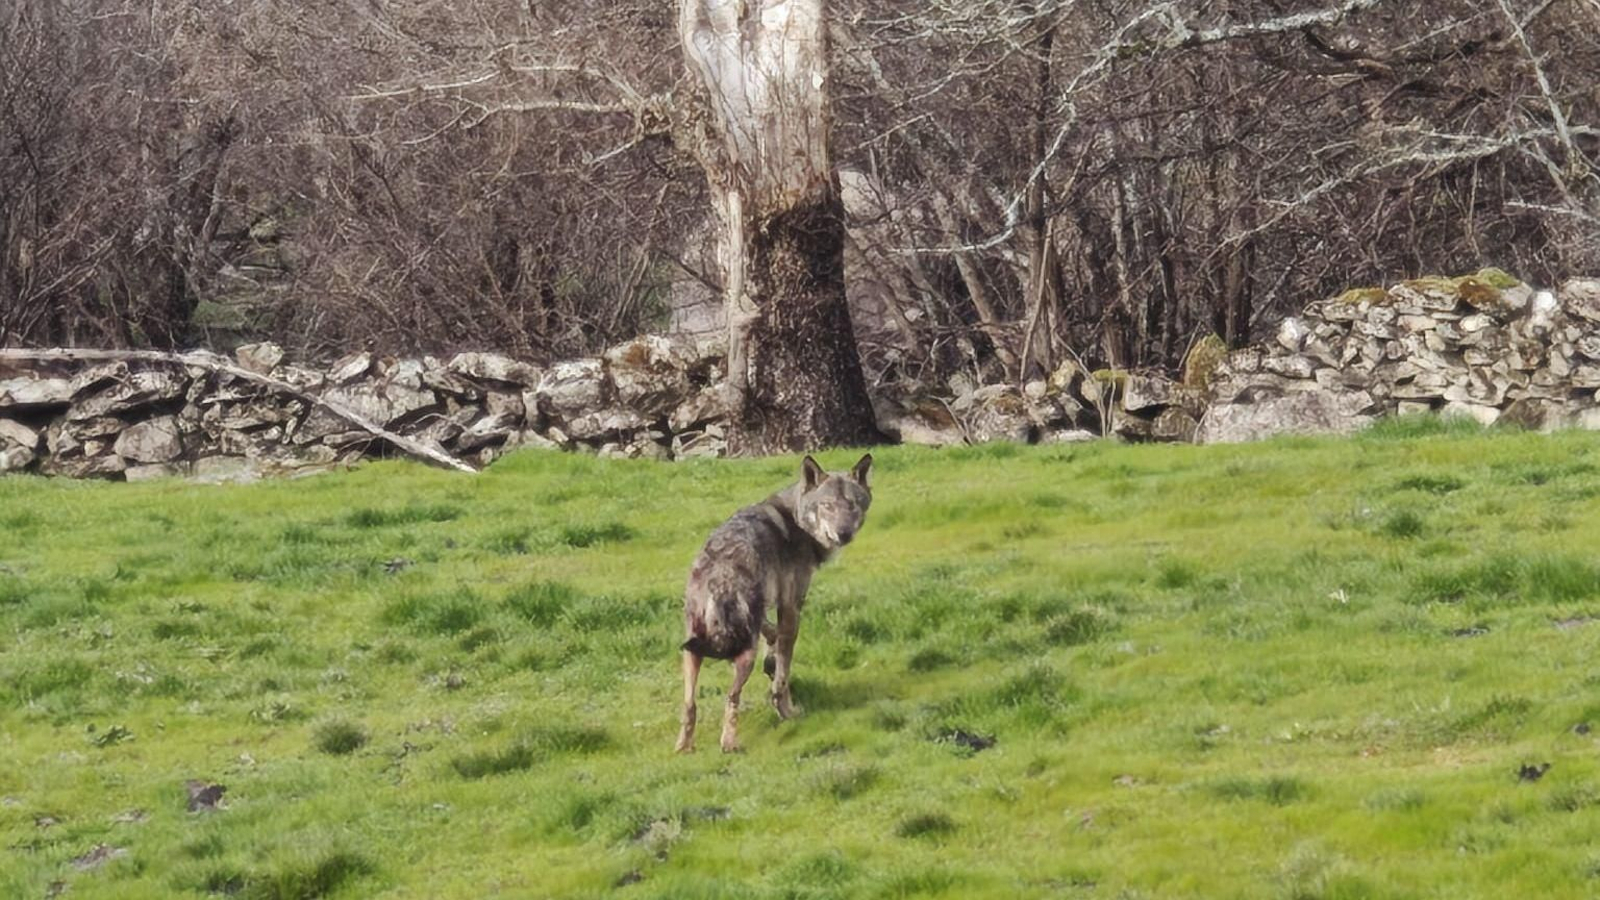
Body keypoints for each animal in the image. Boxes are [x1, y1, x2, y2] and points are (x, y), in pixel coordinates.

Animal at [674, 453, 873, 753]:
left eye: (852, 505)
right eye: (827, 506)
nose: (844, 534)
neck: (797, 521)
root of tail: (716, 580)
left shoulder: (769, 608)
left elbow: (771, 635)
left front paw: (771, 656)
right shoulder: (792, 608)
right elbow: (783, 674)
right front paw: (787, 711)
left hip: (691, 651)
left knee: (689, 705)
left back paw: (683, 747)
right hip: (744, 655)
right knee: (731, 698)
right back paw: (729, 743)